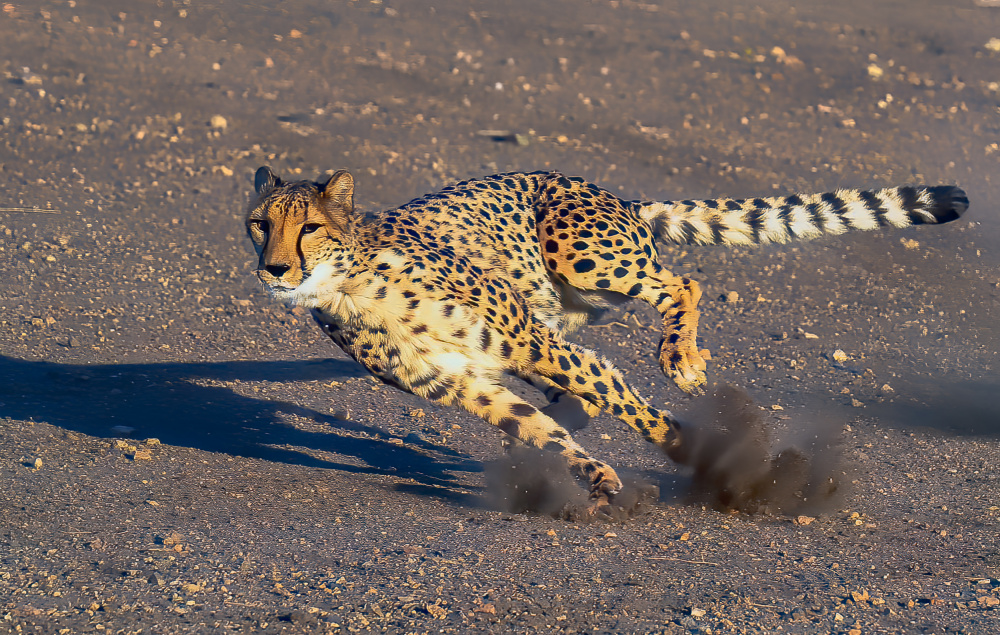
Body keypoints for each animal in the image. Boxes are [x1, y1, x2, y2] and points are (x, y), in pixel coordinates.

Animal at [245, 166, 967, 511]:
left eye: (309, 226)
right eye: (260, 223)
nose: (273, 268)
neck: (352, 286)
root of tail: (614, 194)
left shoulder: (526, 340)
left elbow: (623, 399)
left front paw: (701, 451)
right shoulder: (468, 384)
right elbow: (538, 425)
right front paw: (592, 477)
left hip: (582, 261)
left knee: (678, 285)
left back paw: (680, 357)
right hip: (569, 306)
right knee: (580, 385)